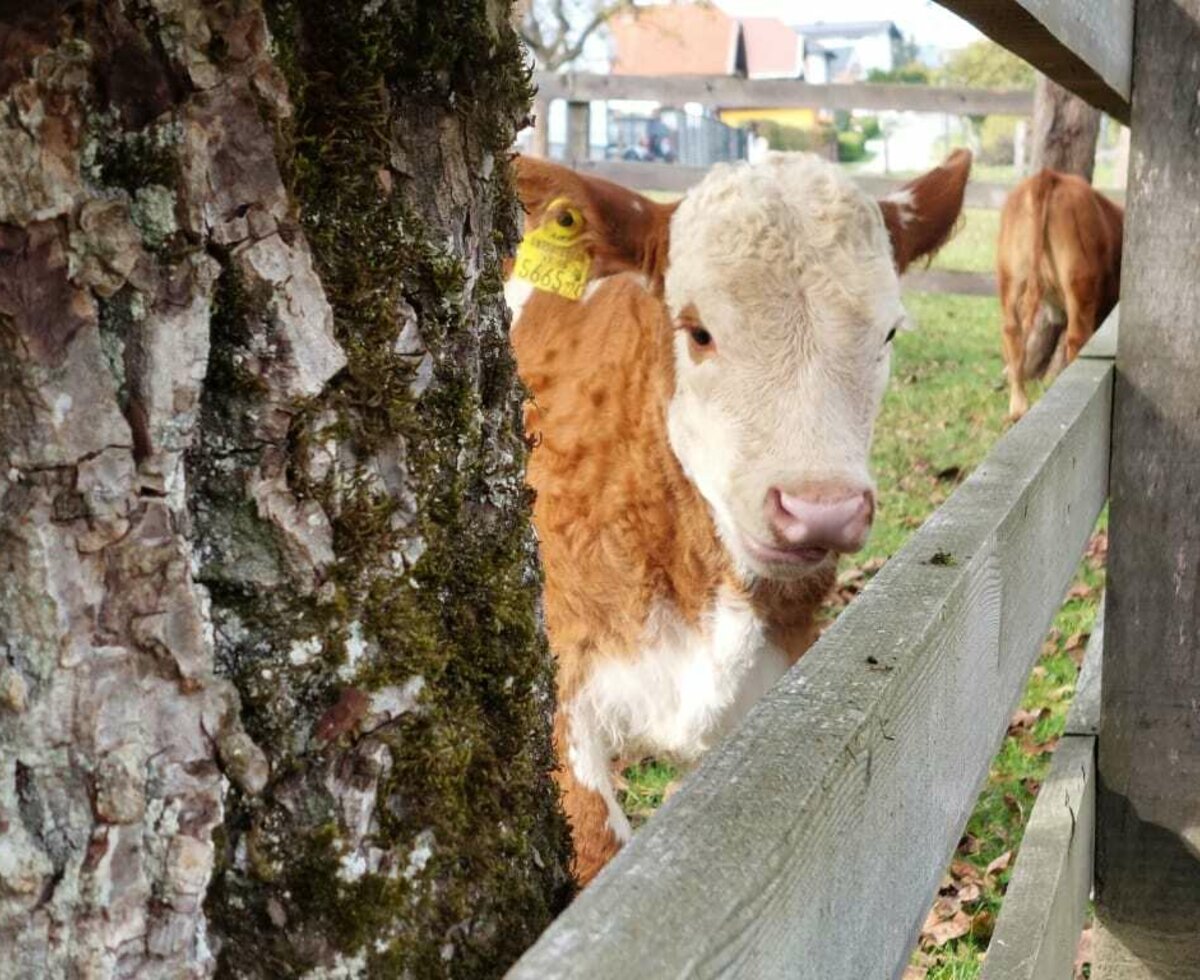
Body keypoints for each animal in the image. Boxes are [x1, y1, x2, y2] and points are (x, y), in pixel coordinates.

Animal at [998, 169, 1118, 419]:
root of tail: (1050, 176)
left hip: (1010, 279)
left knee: (1012, 333)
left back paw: (1018, 409)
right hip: (1079, 287)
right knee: (1076, 340)